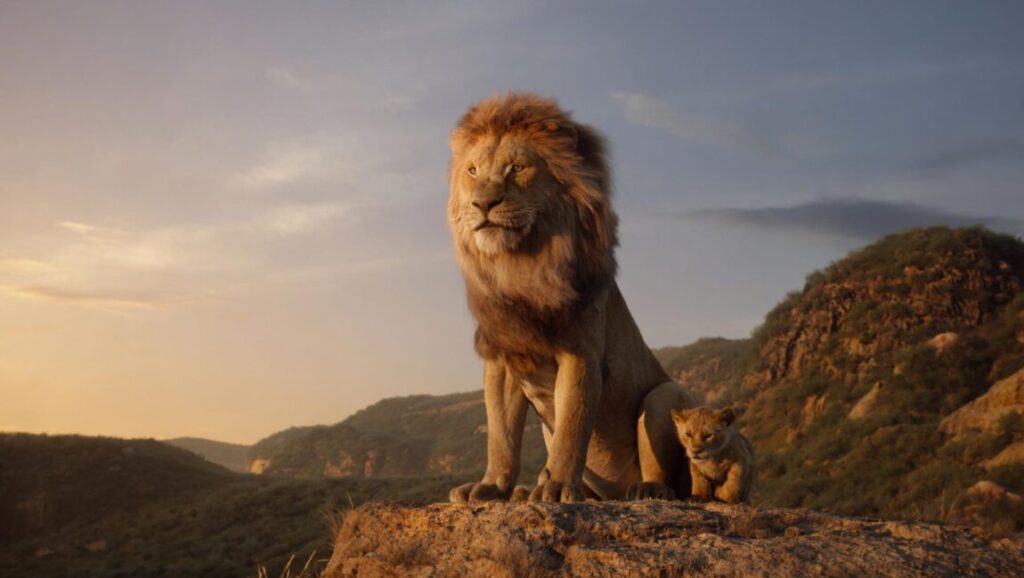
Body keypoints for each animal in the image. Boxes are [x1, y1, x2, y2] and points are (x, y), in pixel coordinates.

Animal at [446, 93, 697, 503]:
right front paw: (491, 486)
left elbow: (572, 427)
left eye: (517, 168)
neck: (520, 265)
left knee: (668, 477)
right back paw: (528, 491)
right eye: (472, 171)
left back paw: (646, 489)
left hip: (664, 395)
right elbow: (501, 435)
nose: (483, 204)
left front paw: (558, 486)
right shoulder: (503, 359)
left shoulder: (580, 353)